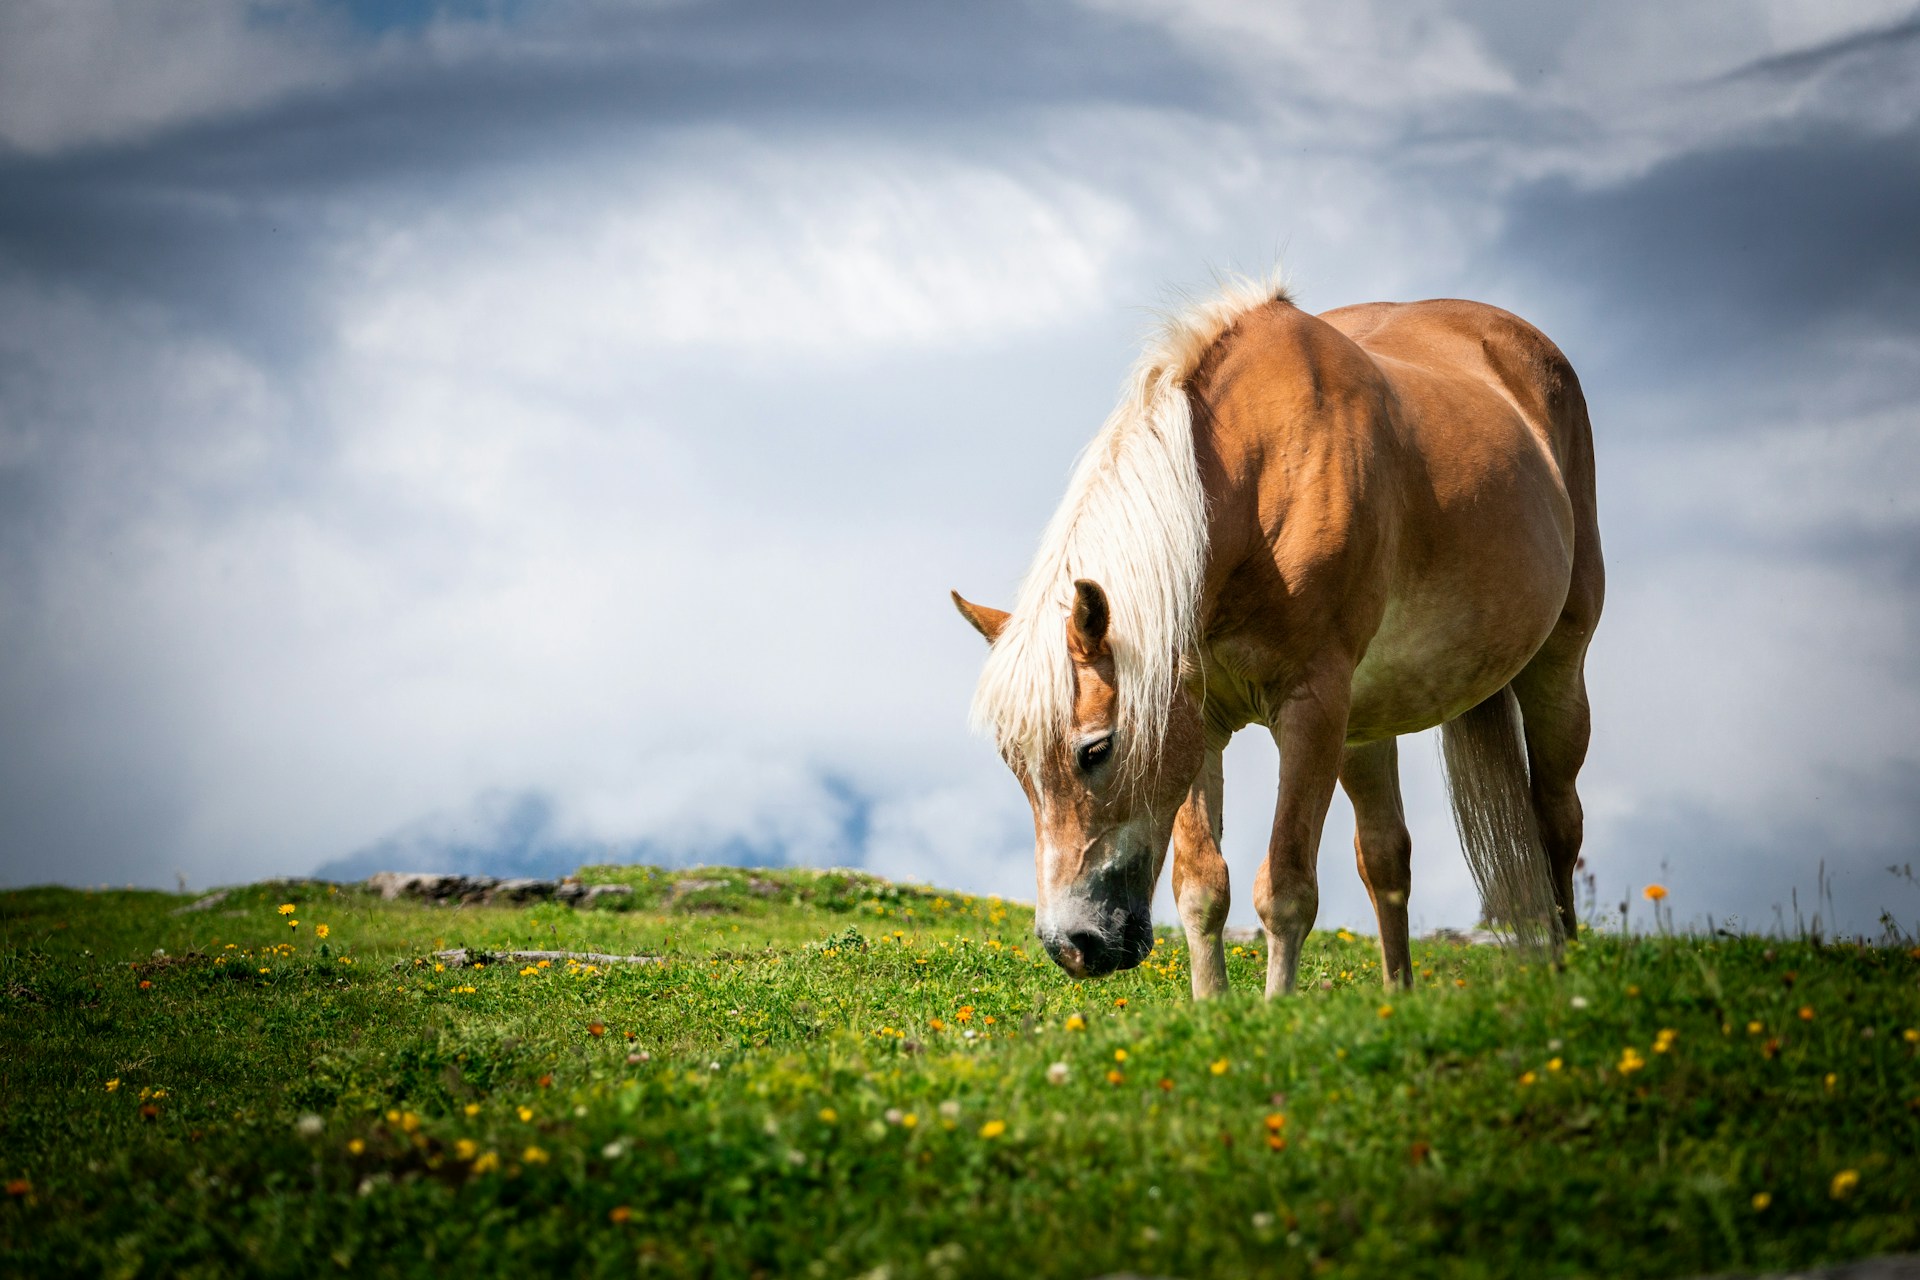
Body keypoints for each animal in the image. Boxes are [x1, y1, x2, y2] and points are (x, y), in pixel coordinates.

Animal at [952, 279, 1603, 997]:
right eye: (1014, 764)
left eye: (1096, 749)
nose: (1074, 947)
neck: (1257, 483)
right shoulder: (1198, 720)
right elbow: (1201, 887)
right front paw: (1214, 1010)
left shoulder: (1310, 706)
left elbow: (1286, 886)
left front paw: (1275, 1009)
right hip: (1365, 727)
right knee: (1386, 857)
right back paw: (1398, 997)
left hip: (1556, 670)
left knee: (1557, 827)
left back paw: (1571, 979)